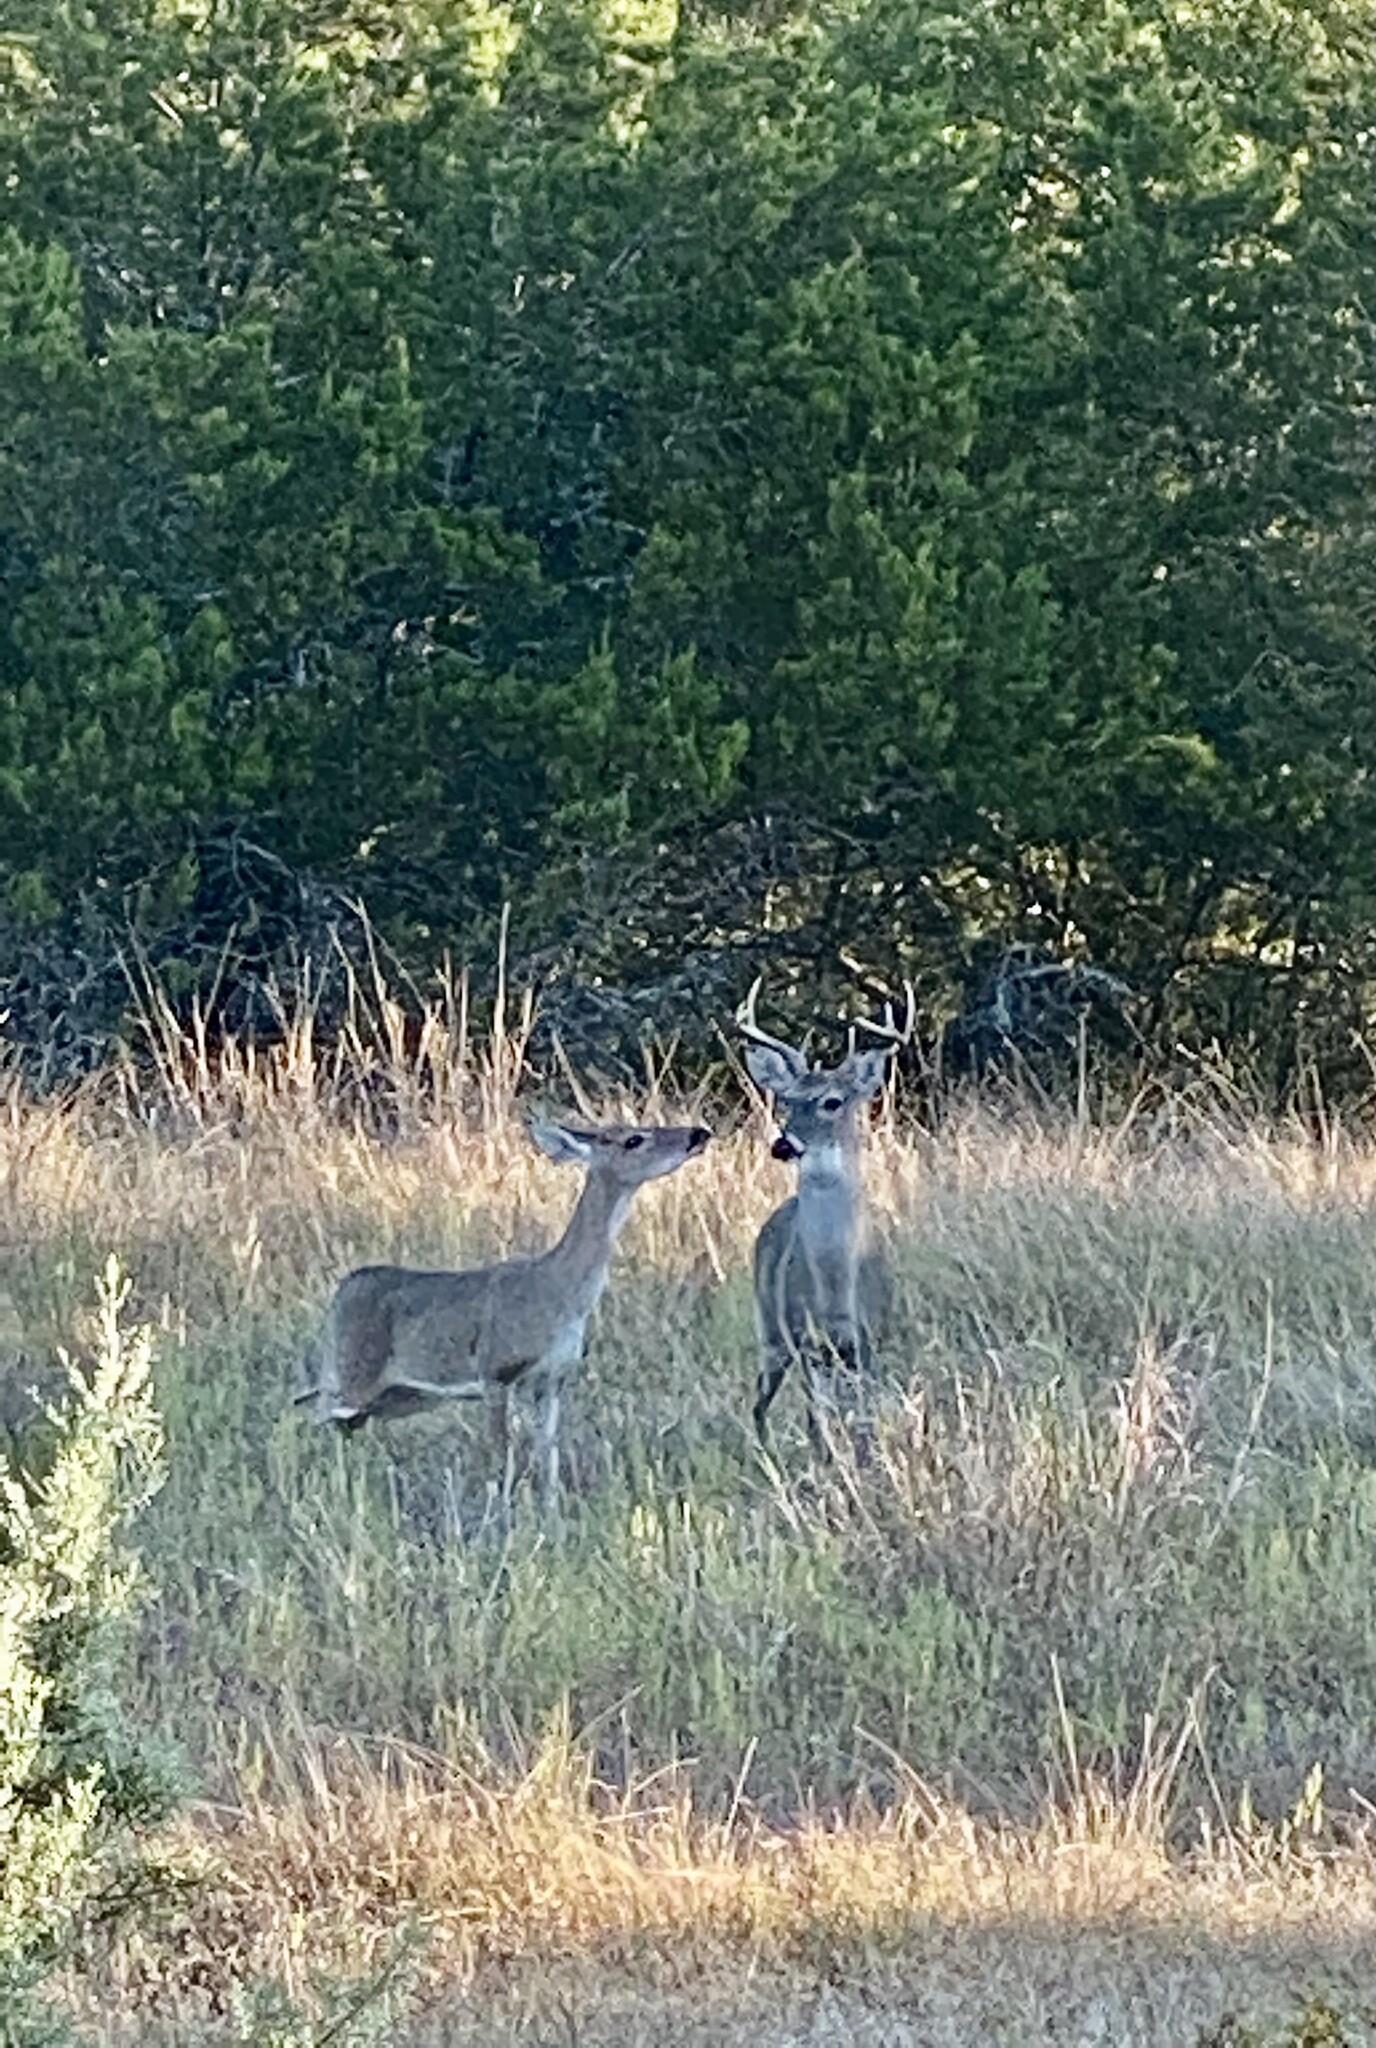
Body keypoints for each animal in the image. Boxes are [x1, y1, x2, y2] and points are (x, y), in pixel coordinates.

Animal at [298, 1122, 708, 1507]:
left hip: (397, 1395)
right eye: (633, 1139)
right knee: (316, 1416)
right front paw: (503, 1517)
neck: (562, 1293)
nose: (698, 1134)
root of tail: (341, 1292)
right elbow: (502, 1455)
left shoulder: (554, 1378)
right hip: (355, 1371)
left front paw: (550, 1513)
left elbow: (548, 1453)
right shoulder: (496, 1370)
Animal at [728, 978, 913, 1449]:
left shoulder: (869, 1338)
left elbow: (864, 1421)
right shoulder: (806, 1340)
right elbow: (821, 1425)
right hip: (771, 1330)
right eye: (787, 1101)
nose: (783, 1144)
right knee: (763, 1403)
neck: (835, 1288)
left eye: (832, 1102)